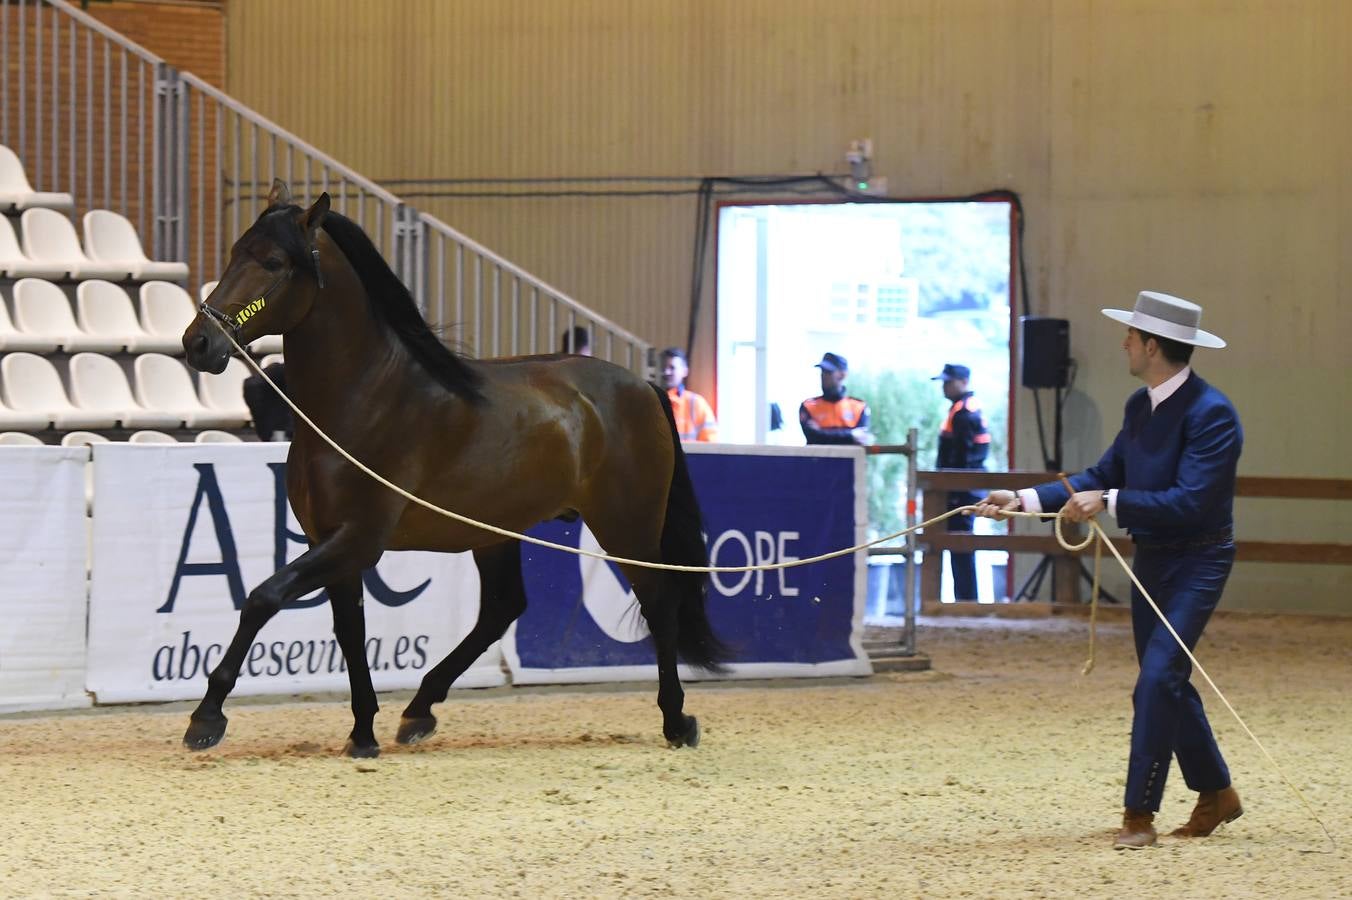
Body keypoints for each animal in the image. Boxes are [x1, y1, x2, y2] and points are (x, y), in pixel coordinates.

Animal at [185, 178, 724, 751]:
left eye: (273, 261)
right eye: (234, 252)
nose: (198, 343)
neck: (362, 402)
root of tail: (642, 385)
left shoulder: (358, 539)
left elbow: (263, 598)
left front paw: (207, 717)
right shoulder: (329, 542)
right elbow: (349, 630)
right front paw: (363, 732)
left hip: (627, 524)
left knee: (659, 602)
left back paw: (677, 720)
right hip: (496, 532)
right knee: (502, 609)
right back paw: (419, 709)